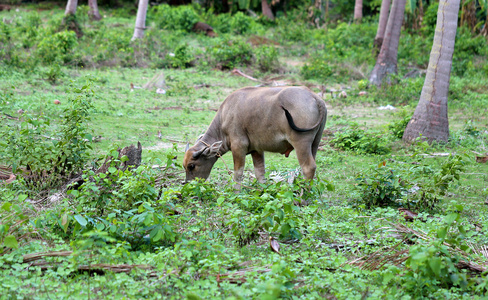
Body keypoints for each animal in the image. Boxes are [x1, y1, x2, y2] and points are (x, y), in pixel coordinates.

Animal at [183, 85, 328, 185]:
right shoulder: (256, 150)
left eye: (192, 166)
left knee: (308, 167)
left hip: (301, 143)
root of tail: (314, 97)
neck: (224, 118)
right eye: (184, 166)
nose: (189, 184)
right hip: (315, 143)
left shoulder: (238, 147)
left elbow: (238, 173)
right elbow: (260, 173)